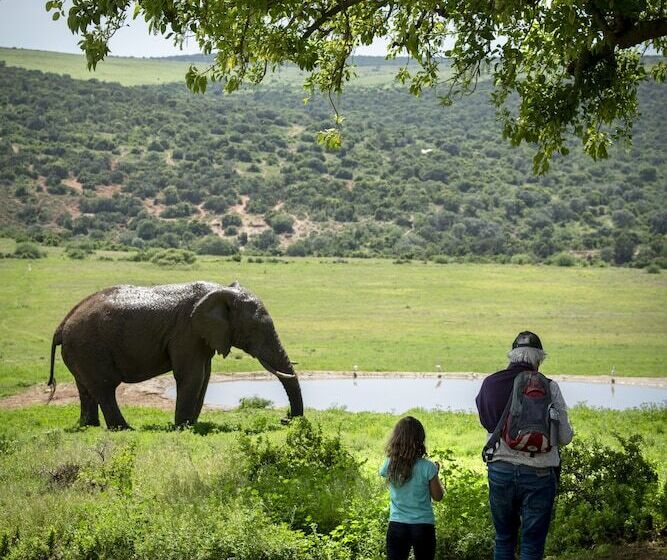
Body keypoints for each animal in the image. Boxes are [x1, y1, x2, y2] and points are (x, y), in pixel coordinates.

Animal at [48, 281, 303, 429]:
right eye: (255, 329)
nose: (286, 418)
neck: (219, 291)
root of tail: (61, 327)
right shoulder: (187, 331)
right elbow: (192, 376)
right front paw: (183, 427)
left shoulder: (201, 335)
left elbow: (204, 376)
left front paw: (191, 424)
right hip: (89, 347)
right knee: (104, 387)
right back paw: (123, 429)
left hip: (80, 351)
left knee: (86, 387)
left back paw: (89, 426)